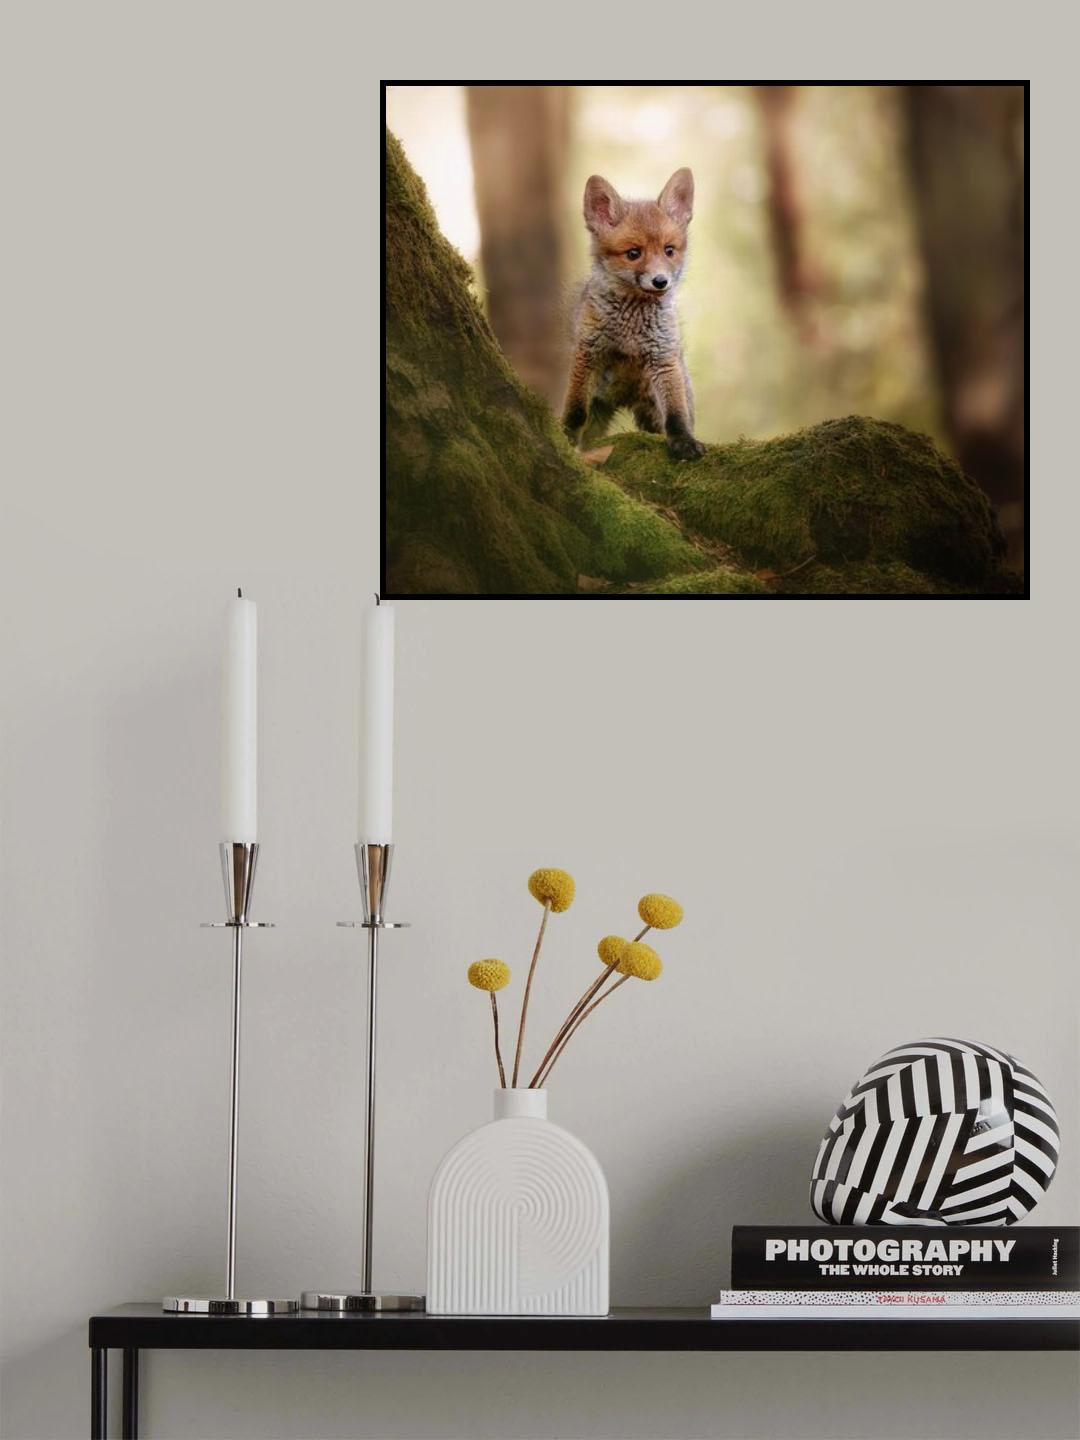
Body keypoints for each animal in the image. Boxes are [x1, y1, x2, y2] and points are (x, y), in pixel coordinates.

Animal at [562, 167, 706, 461]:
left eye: (669, 250)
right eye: (633, 253)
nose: (661, 281)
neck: (631, 326)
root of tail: (625, 399)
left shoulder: (663, 358)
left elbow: (676, 415)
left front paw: (684, 441)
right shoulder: (587, 352)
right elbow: (576, 410)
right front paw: (565, 437)